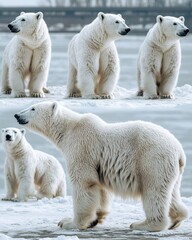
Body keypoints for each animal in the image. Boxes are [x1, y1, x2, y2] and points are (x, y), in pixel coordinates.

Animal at [14, 101, 188, 232]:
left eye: (33, 108)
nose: (16, 115)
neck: (69, 129)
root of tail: (179, 151)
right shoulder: (99, 163)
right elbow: (100, 189)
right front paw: (95, 219)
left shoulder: (82, 147)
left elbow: (84, 183)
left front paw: (69, 222)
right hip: (170, 168)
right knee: (171, 192)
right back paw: (175, 219)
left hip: (152, 159)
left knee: (154, 191)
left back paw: (143, 224)